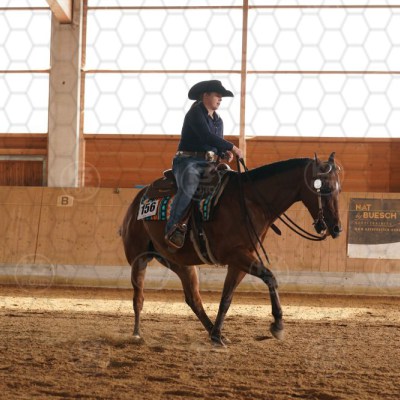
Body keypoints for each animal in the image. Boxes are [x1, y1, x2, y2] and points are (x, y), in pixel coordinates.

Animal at [120, 152, 342, 346]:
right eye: (325, 187)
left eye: (338, 189)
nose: (336, 228)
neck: (251, 201)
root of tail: (138, 199)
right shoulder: (235, 254)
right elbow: (270, 278)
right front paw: (278, 325)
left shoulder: (241, 259)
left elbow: (226, 298)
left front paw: (217, 336)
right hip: (139, 259)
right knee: (138, 297)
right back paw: (137, 334)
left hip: (181, 264)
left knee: (194, 300)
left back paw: (211, 330)